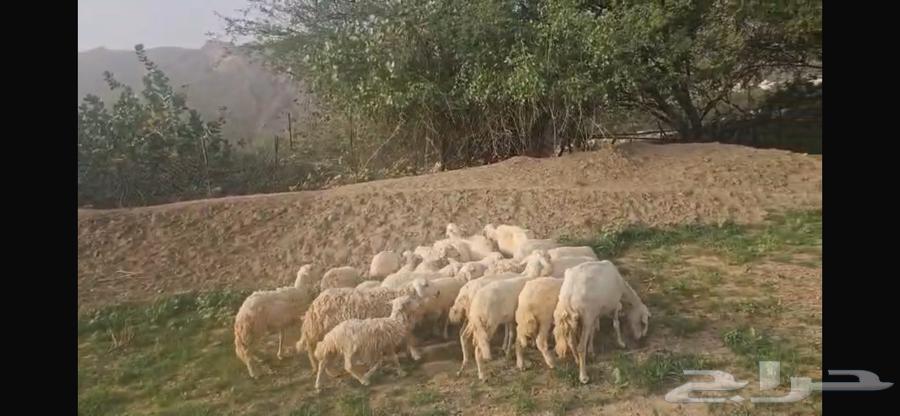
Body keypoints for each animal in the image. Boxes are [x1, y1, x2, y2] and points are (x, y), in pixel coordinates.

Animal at [297, 278, 440, 371]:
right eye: (426, 285)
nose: (438, 292)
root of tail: (313, 306)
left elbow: (407, 338)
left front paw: (411, 353)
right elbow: (408, 338)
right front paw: (415, 354)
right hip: (320, 330)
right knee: (311, 347)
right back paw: (317, 366)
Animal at [459, 250, 553, 381]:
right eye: (546, 256)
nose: (551, 266)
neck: (528, 276)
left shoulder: (510, 317)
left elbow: (511, 333)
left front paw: (508, 351)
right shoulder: (518, 317)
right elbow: (515, 334)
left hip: (474, 321)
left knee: (464, 336)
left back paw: (464, 365)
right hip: (489, 323)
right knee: (478, 348)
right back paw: (482, 375)